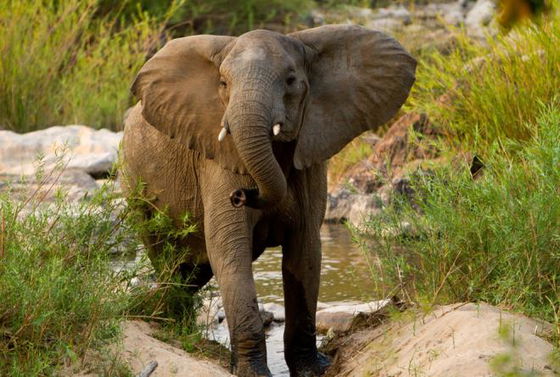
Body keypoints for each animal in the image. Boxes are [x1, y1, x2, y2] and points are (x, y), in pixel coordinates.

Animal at [122, 24, 418, 376]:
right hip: (137, 188)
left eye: (290, 80)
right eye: (223, 84)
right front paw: (252, 372)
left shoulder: (310, 163)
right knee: (173, 265)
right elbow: (229, 250)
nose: (240, 195)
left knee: (192, 272)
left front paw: (313, 369)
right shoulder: (219, 161)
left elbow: (305, 253)